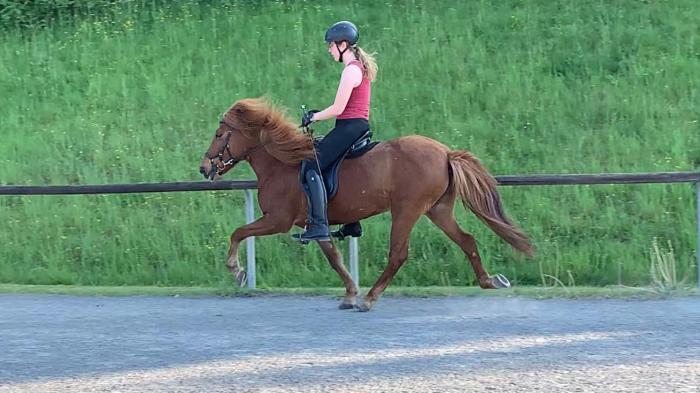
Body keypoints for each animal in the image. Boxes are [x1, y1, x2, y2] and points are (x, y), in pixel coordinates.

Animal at [200, 97, 532, 310]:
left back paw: (371, 299)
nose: (204, 169)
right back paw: (489, 281)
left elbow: (239, 232)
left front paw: (236, 270)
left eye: (218, 134)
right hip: (438, 211)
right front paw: (349, 293)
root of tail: (445, 153)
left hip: (406, 210)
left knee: (399, 254)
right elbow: (335, 258)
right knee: (467, 240)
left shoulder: (277, 219)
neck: (282, 163)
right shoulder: (316, 224)